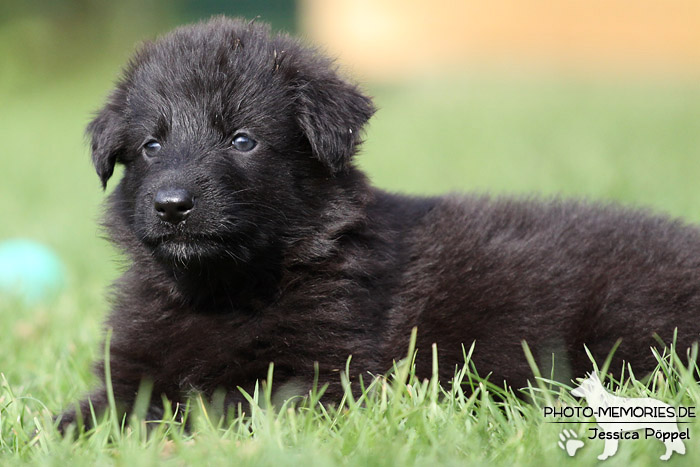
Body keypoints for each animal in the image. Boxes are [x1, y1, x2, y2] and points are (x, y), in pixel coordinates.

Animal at [58, 17, 700, 428]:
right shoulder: (132, 367)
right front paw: (66, 431)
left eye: (242, 140)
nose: (171, 205)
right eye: (150, 146)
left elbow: (217, 406)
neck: (219, 293)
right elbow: (100, 407)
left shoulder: (323, 374)